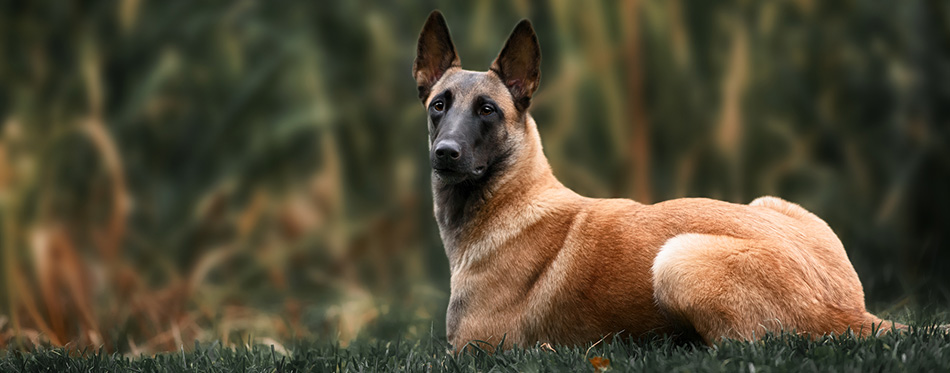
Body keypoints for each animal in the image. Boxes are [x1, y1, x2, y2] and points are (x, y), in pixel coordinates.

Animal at [410, 10, 900, 350]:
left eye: (487, 110)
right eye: (439, 105)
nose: (445, 154)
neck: (508, 196)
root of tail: (848, 310)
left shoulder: (473, 351)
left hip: (676, 259)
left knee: (738, 346)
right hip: (768, 204)